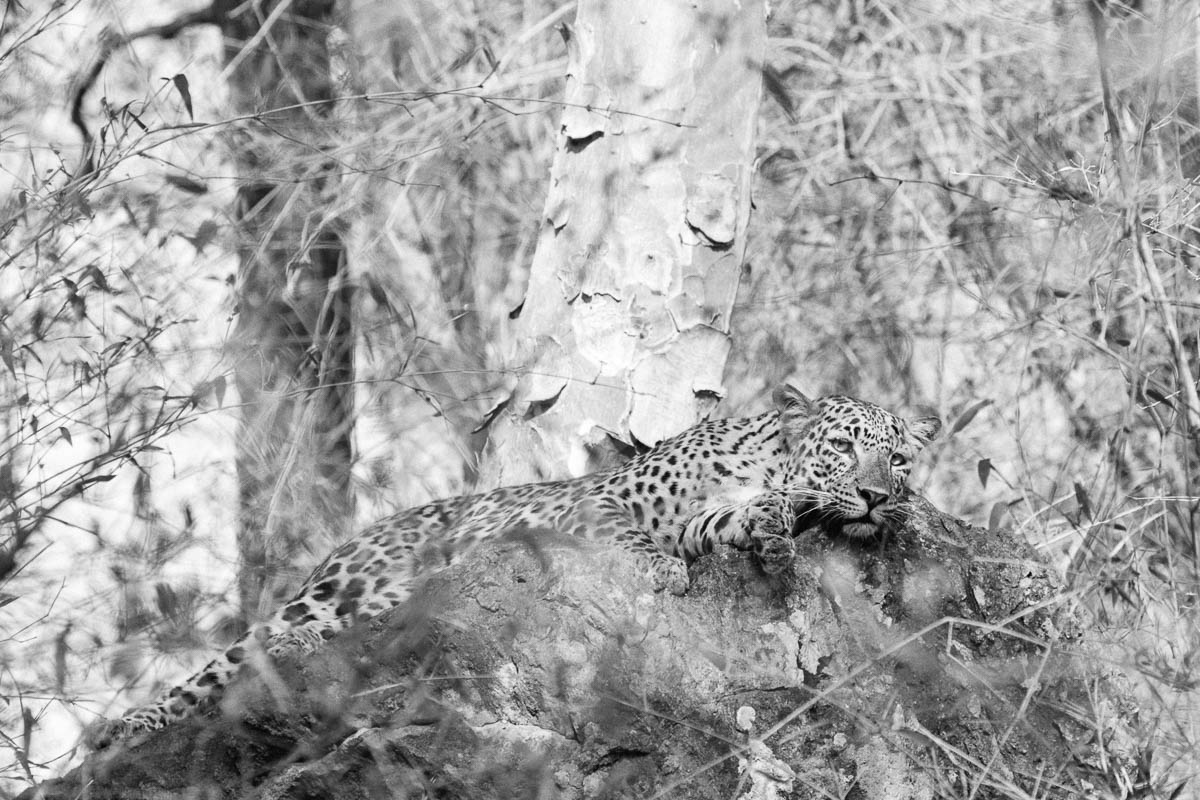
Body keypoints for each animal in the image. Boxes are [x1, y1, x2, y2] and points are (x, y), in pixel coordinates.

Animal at [89, 385, 939, 748]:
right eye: (845, 447)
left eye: (898, 459)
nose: (876, 494)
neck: (766, 463)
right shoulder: (599, 502)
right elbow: (626, 534)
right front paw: (660, 570)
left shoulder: (709, 516)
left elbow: (734, 520)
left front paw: (773, 534)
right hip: (335, 592)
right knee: (234, 658)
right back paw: (133, 723)